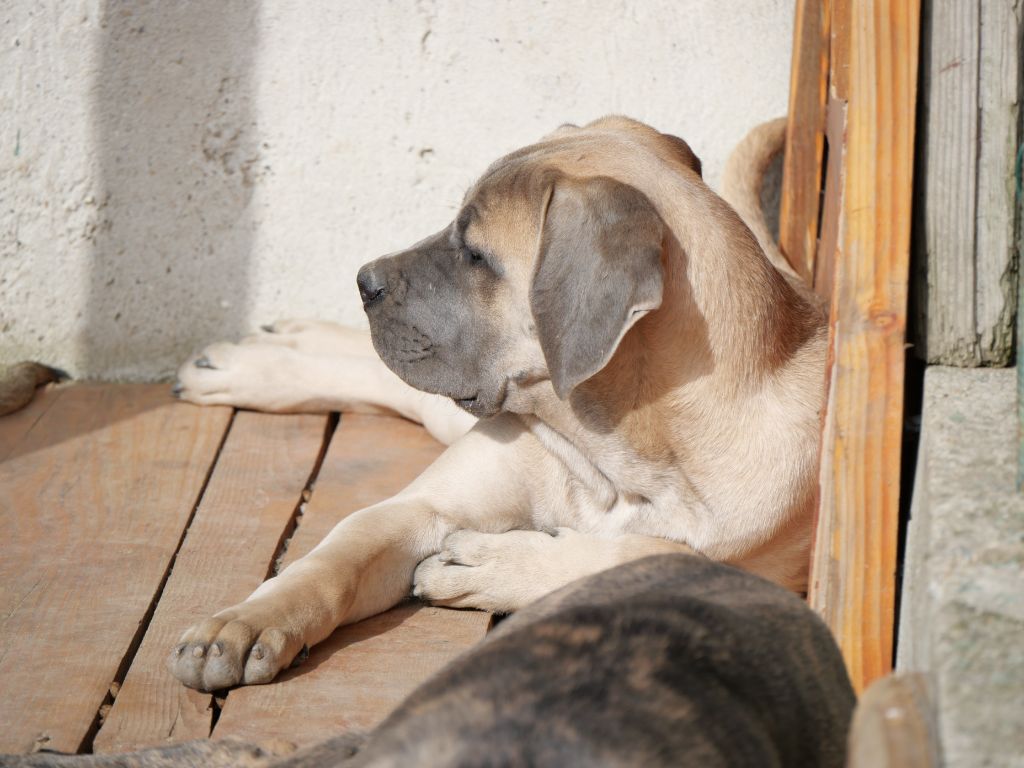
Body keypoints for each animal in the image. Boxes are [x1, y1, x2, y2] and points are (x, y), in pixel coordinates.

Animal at [168, 116, 826, 692]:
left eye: (476, 255)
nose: (364, 281)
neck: (610, 459)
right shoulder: (418, 508)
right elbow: (328, 564)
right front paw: (239, 625)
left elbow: (650, 555)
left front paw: (492, 566)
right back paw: (257, 363)